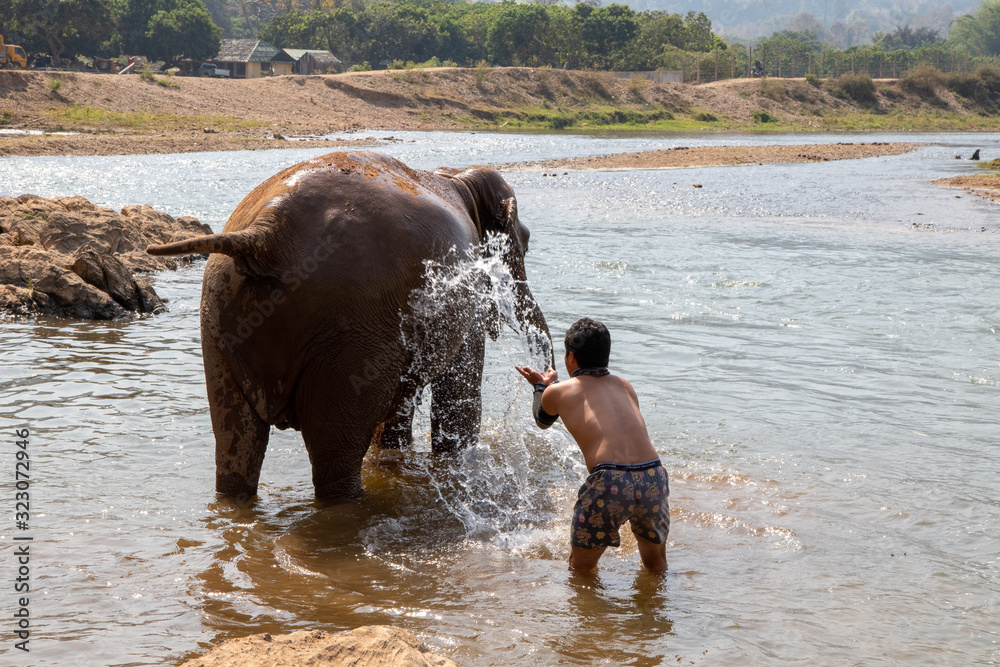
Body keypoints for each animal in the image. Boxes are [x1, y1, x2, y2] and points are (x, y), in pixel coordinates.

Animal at [148, 151, 551, 502]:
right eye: (527, 244)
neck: (457, 177)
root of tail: (265, 235)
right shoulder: (462, 301)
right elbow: (458, 394)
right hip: (351, 336)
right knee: (336, 458)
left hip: (219, 320)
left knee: (236, 443)